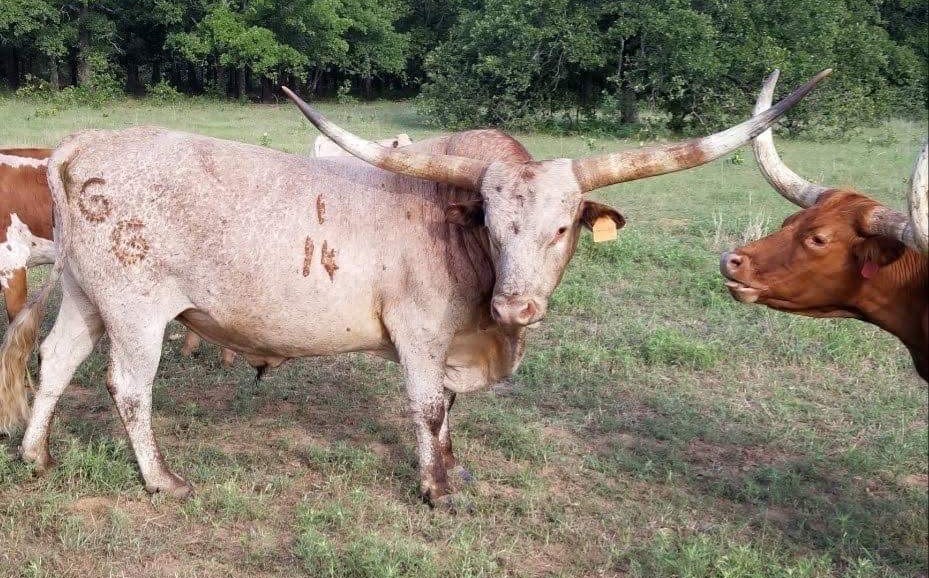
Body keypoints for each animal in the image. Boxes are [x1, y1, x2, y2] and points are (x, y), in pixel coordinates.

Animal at [0, 70, 829, 505]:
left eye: (563, 226)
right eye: (492, 220)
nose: (517, 304)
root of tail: (79, 146)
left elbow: (451, 411)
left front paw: (452, 465)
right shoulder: (420, 334)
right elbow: (429, 406)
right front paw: (435, 486)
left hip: (86, 296)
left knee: (56, 362)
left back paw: (35, 456)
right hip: (138, 309)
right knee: (128, 387)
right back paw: (162, 479)